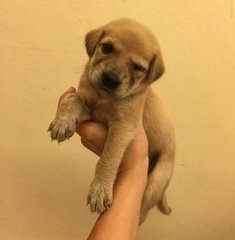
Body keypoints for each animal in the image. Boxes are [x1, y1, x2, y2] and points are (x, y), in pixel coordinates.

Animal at [48, 18, 175, 223]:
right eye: (107, 48)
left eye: (138, 68)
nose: (110, 79)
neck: (104, 97)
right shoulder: (92, 110)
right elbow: (74, 98)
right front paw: (63, 122)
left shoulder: (123, 126)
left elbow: (108, 158)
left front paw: (100, 191)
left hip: (155, 182)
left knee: (143, 210)